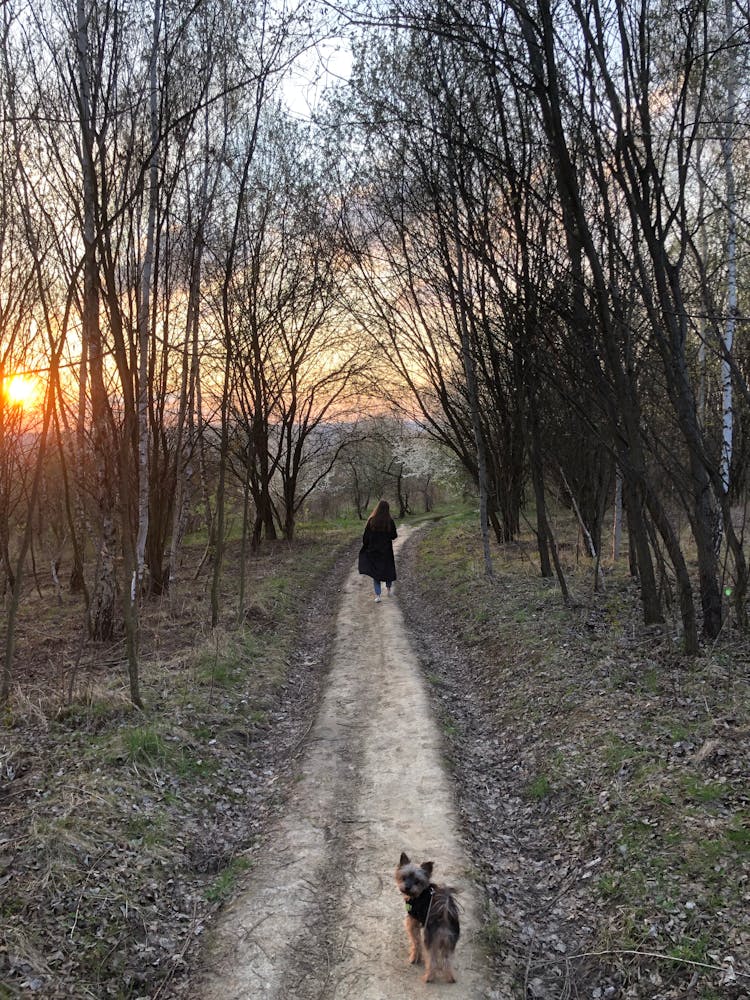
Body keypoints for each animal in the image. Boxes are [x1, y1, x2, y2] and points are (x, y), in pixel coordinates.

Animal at [396, 852, 462, 984]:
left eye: (417, 881)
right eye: (404, 877)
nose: (407, 887)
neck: (420, 893)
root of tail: (445, 919)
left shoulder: (413, 922)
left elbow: (416, 942)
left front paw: (414, 957)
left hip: (431, 940)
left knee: (433, 962)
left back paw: (428, 978)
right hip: (449, 943)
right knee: (447, 961)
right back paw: (450, 978)